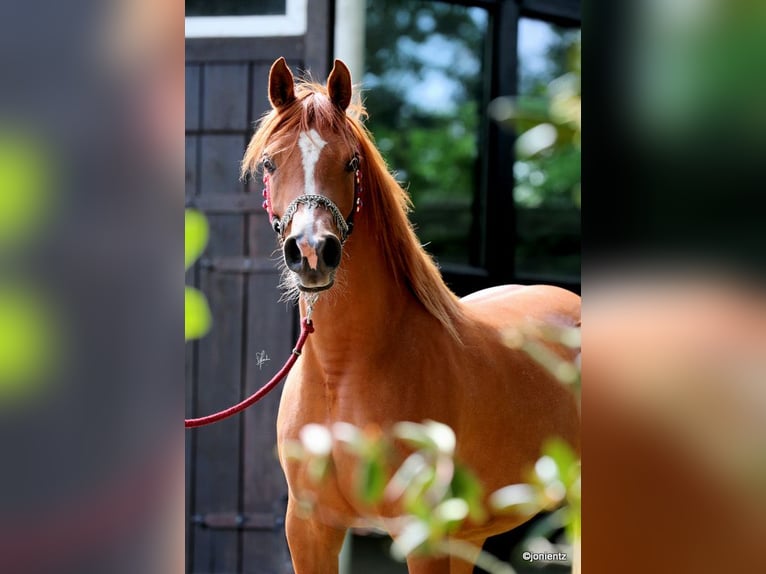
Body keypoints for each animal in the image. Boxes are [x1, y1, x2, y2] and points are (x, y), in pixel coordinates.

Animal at [240, 57, 580, 574]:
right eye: (269, 163)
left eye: (351, 162)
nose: (313, 252)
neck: (341, 374)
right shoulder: (309, 529)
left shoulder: (422, 538)